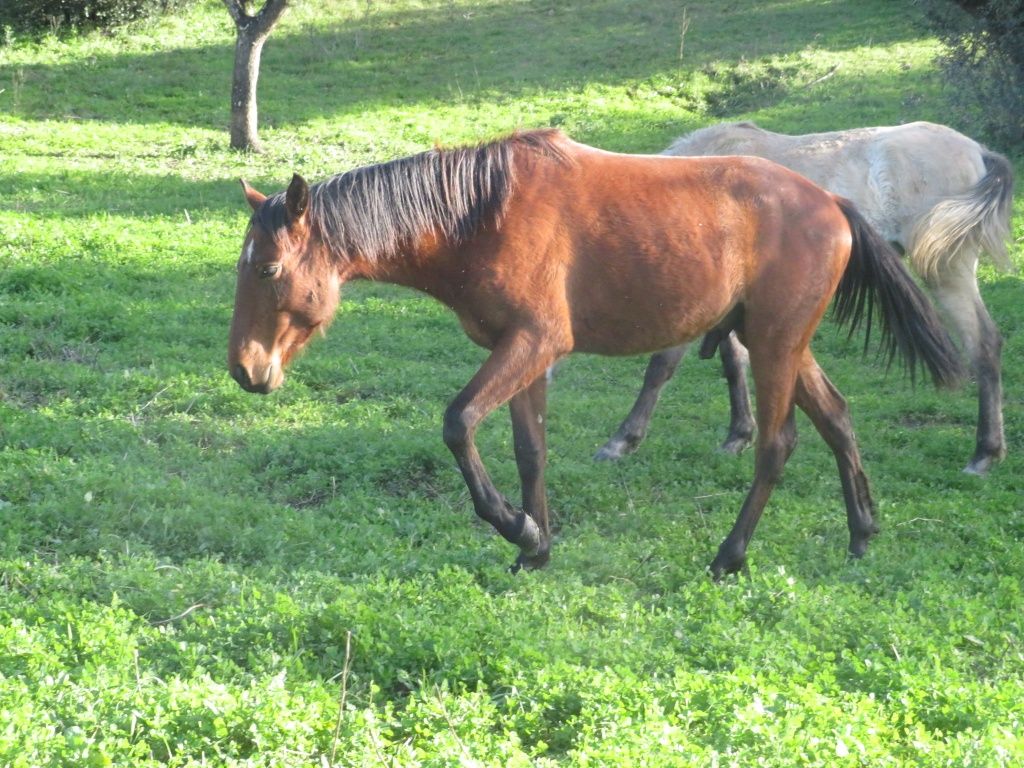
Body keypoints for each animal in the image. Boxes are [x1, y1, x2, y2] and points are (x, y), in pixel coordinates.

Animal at [226, 132, 958, 577]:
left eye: (267, 270)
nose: (245, 370)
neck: (481, 214)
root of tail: (830, 201)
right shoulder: (522, 354)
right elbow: (530, 450)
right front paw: (536, 546)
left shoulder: (533, 343)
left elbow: (458, 423)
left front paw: (515, 529)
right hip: (783, 342)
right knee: (836, 418)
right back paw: (861, 532)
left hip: (777, 344)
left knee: (778, 446)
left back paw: (730, 556)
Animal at [598, 120, 1011, 475]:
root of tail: (979, 150)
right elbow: (734, 364)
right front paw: (738, 437)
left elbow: (661, 367)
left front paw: (622, 441)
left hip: (947, 271)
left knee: (983, 345)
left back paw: (983, 455)